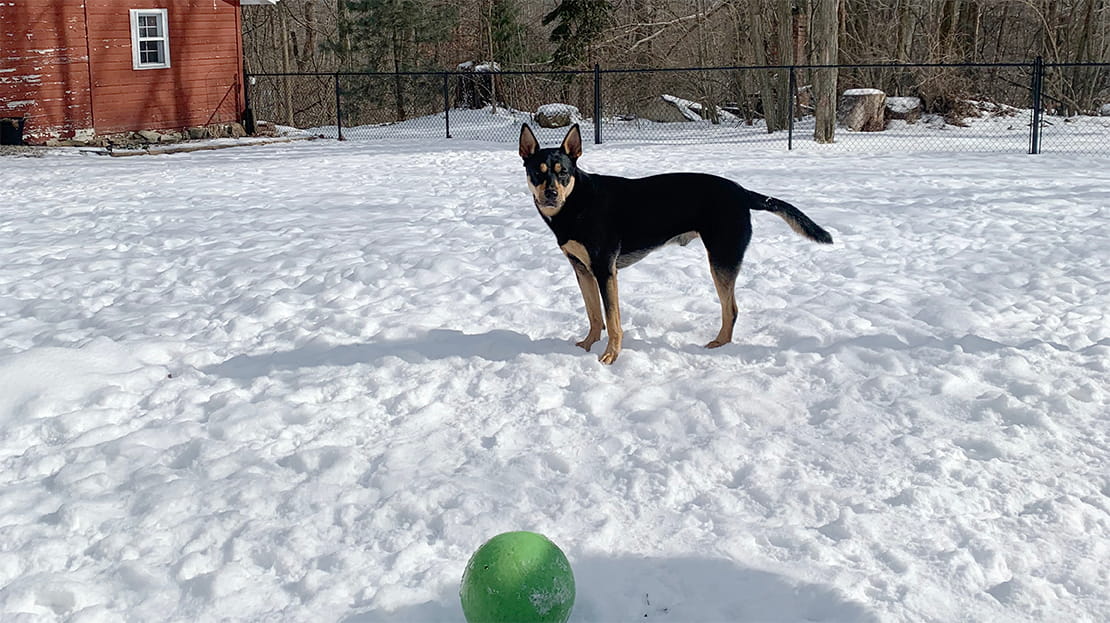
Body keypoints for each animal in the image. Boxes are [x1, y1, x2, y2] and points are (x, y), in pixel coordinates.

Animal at [521, 123, 834, 362]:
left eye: (563, 172)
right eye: (537, 172)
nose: (551, 194)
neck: (577, 204)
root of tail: (742, 191)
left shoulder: (605, 270)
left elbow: (612, 320)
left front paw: (610, 356)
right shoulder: (582, 269)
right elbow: (594, 314)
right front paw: (588, 345)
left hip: (721, 260)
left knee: (731, 310)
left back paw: (719, 344)